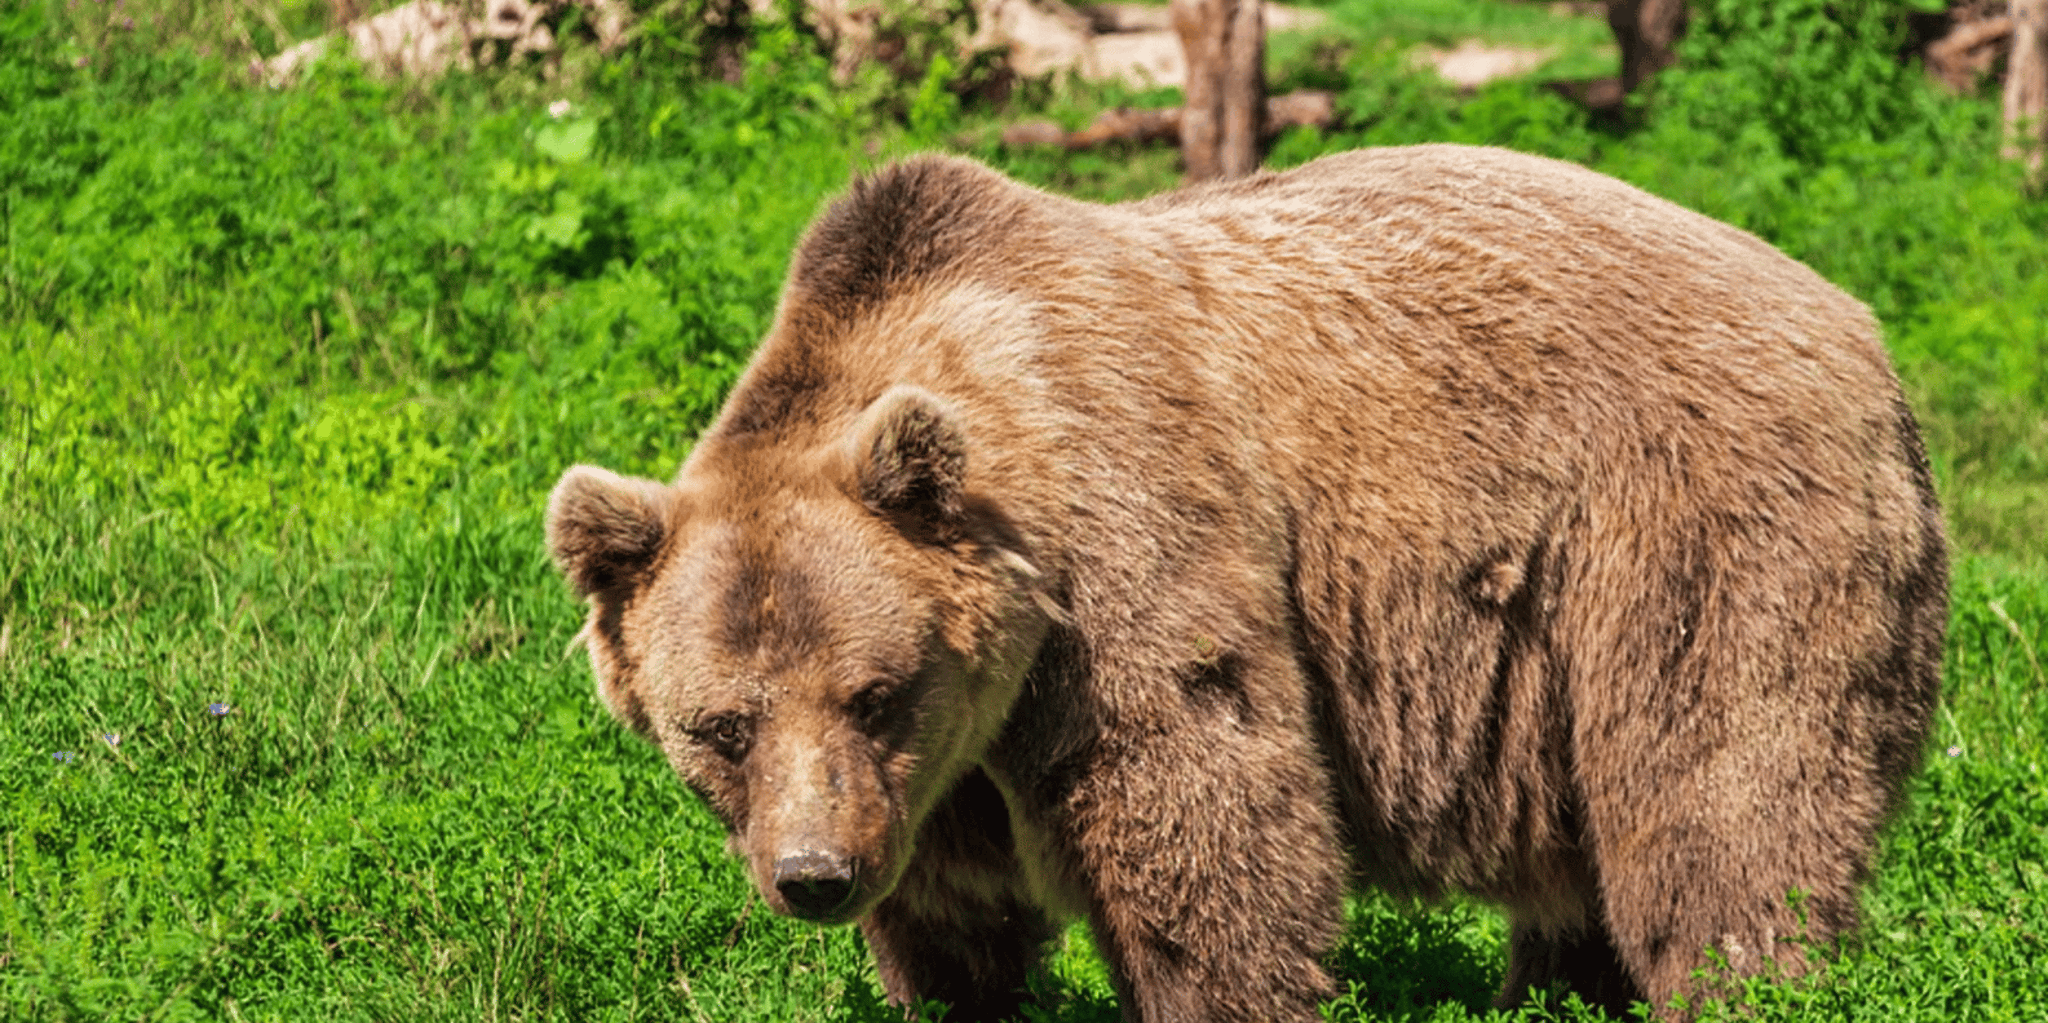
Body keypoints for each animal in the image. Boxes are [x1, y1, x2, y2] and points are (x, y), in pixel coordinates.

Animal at [545, 145, 1948, 1022]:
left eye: (873, 691)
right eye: (718, 726)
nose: (813, 877)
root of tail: (1862, 330)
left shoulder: (1122, 556)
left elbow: (1203, 814)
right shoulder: (939, 773)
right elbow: (954, 918)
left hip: (1688, 536)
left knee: (1721, 808)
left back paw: (1742, 975)